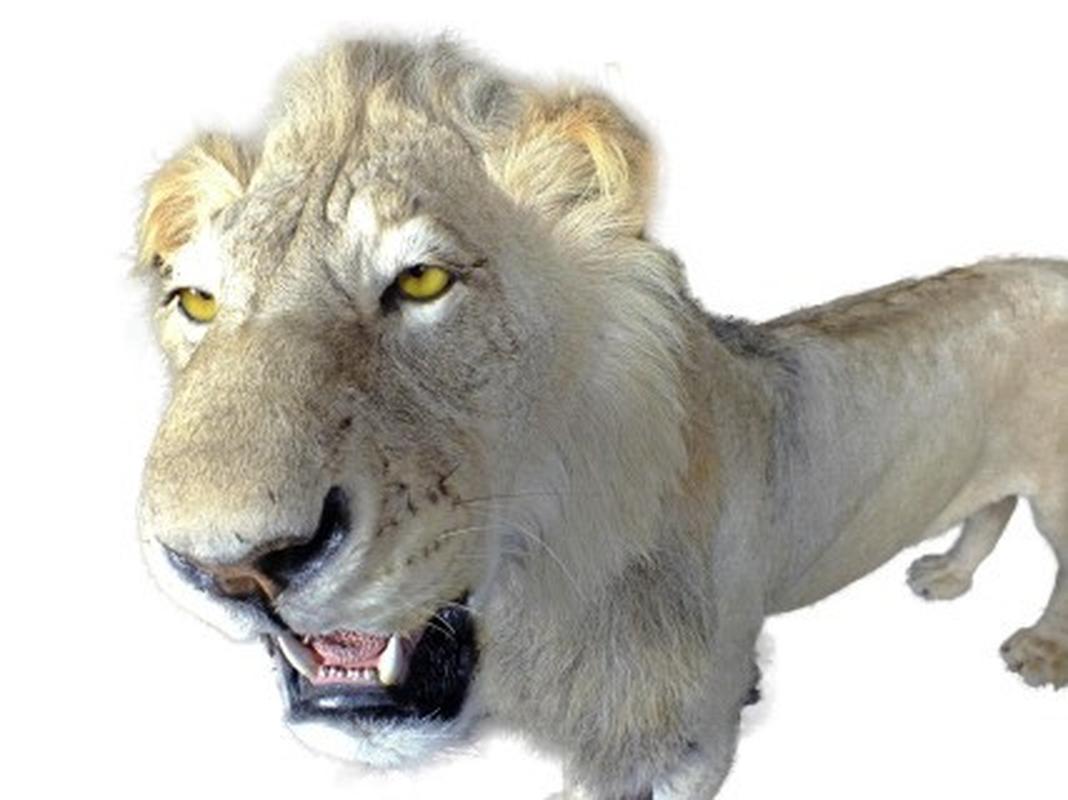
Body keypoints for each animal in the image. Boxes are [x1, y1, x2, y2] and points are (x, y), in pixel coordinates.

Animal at [136, 38, 1068, 800]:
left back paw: (1038, 651)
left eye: (424, 281)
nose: (231, 568)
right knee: (988, 507)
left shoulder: (681, 733)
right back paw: (946, 575)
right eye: (196, 301)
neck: (555, 592)